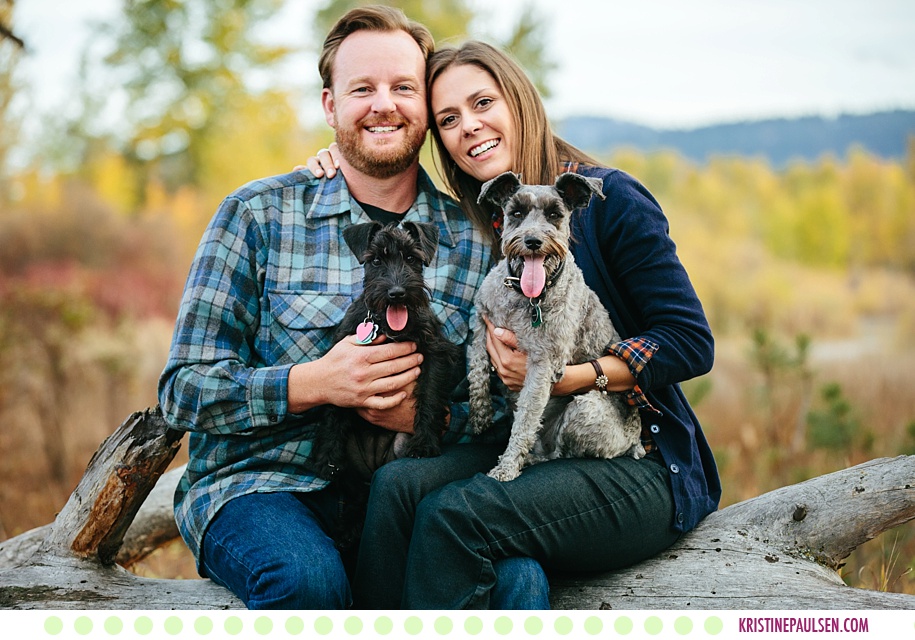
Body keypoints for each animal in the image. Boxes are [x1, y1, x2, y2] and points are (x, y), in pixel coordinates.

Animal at [312, 221, 462, 552]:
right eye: (376, 260)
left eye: (412, 258)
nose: (397, 293)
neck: (389, 325)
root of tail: (373, 466)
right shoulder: (341, 361)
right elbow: (333, 406)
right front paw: (326, 457)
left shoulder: (434, 353)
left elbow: (430, 396)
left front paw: (425, 444)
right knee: (354, 495)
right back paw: (347, 529)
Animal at [468, 170, 648, 480]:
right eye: (516, 213)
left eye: (555, 214)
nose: (532, 241)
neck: (526, 297)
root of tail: (636, 442)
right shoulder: (482, 321)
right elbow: (477, 370)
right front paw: (480, 416)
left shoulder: (542, 364)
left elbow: (526, 420)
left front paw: (506, 468)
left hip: (585, 409)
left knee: (559, 452)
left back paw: (529, 459)